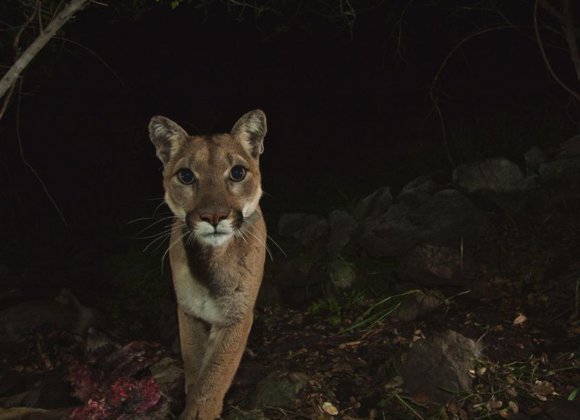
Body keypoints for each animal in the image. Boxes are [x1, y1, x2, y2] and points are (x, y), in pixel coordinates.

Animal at [148, 110, 268, 418]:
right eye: (186, 176)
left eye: (237, 172)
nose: (213, 217)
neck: (211, 261)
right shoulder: (190, 311)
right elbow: (195, 365)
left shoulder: (237, 315)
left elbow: (216, 371)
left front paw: (201, 410)